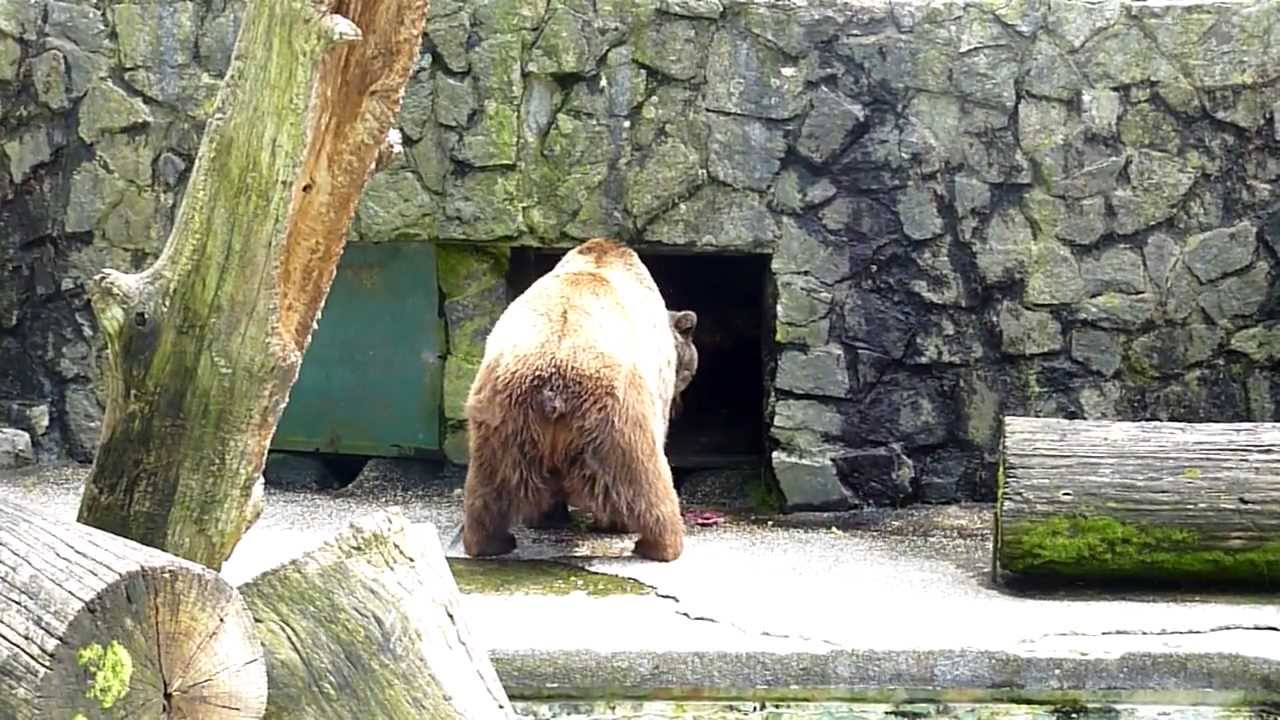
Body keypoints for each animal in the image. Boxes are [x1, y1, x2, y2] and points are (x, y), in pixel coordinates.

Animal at [460, 237, 699, 562]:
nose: (680, 404)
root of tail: (553, 383)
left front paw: (548, 518)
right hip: (615, 416)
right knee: (642, 477)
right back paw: (661, 544)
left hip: (502, 418)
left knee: (489, 482)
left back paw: (490, 542)